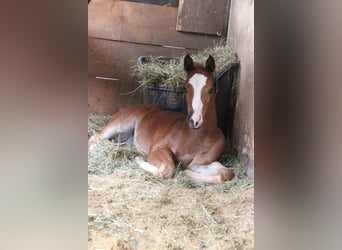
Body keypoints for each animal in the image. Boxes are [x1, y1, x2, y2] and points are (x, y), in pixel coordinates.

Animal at [88, 54, 234, 184]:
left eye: (211, 89)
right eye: (185, 88)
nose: (195, 120)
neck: (197, 138)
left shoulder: (198, 164)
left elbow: (226, 173)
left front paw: (185, 172)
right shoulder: (157, 149)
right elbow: (167, 169)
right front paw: (139, 159)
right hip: (120, 125)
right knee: (94, 138)